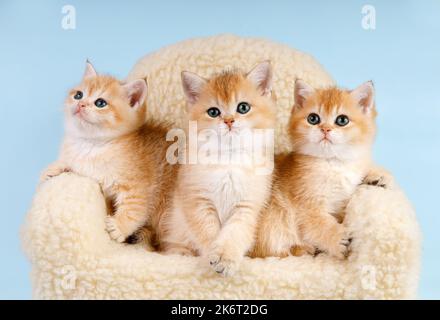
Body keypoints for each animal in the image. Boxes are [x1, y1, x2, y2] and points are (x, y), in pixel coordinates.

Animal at [40, 62, 175, 248]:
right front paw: (53, 168)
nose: (81, 104)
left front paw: (119, 227)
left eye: (100, 103)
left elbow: (135, 207)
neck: (92, 145)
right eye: (78, 95)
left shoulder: (140, 185)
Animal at [158, 62, 276, 276]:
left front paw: (226, 258)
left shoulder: (246, 207)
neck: (228, 160)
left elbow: (233, 233)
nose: (228, 120)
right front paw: (212, 257)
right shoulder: (198, 201)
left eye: (243, 107)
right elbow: (209, 233)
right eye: (213, 112)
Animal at [251, 79, 392, 258]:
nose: (325, 129)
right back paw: (303, 248)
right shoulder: (306, 207)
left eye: (342, 120)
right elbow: (320, 224)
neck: (332, 163)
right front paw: (338, 239)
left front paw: (376, 175)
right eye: (313, 118)